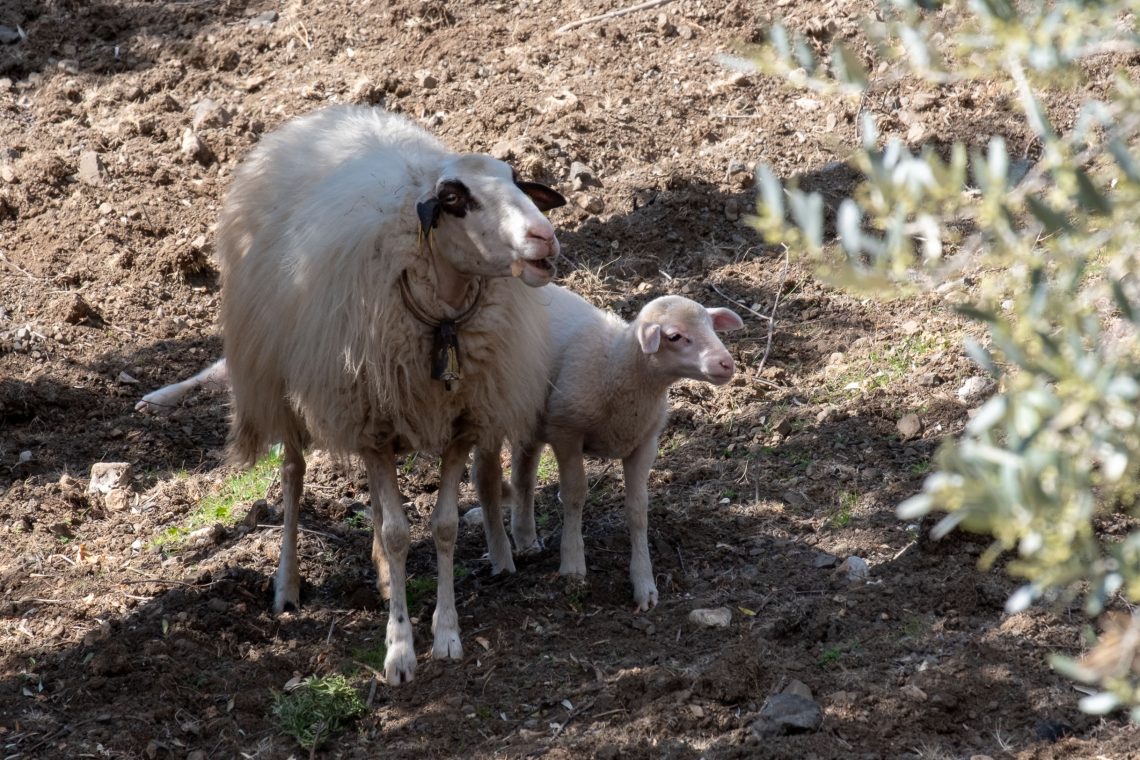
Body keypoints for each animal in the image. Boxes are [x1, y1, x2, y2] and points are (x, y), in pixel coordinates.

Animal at [210, 105, 565, 683]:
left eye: (517, 182)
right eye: (455, 200)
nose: (544, 238)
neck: (442, 319)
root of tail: (317, 118)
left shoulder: (457, 422)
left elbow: (442, 527)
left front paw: (446, 634)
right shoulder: (369, 420)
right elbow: (400, 533)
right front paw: (399, 650)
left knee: (376, 501)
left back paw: (378, 575)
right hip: (285, 382)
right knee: (293, 475)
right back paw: (287, 585)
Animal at [492, 284, 743, 610]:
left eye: (712, 327)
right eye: (675, 336)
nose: (727, 364)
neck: (615, 364)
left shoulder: (644, 443)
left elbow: (638, 510)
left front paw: (645, 584)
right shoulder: (566, 432)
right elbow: (574, 495)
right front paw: (573, 566)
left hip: (530, 416)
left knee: (523, 472)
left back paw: (525, 539)